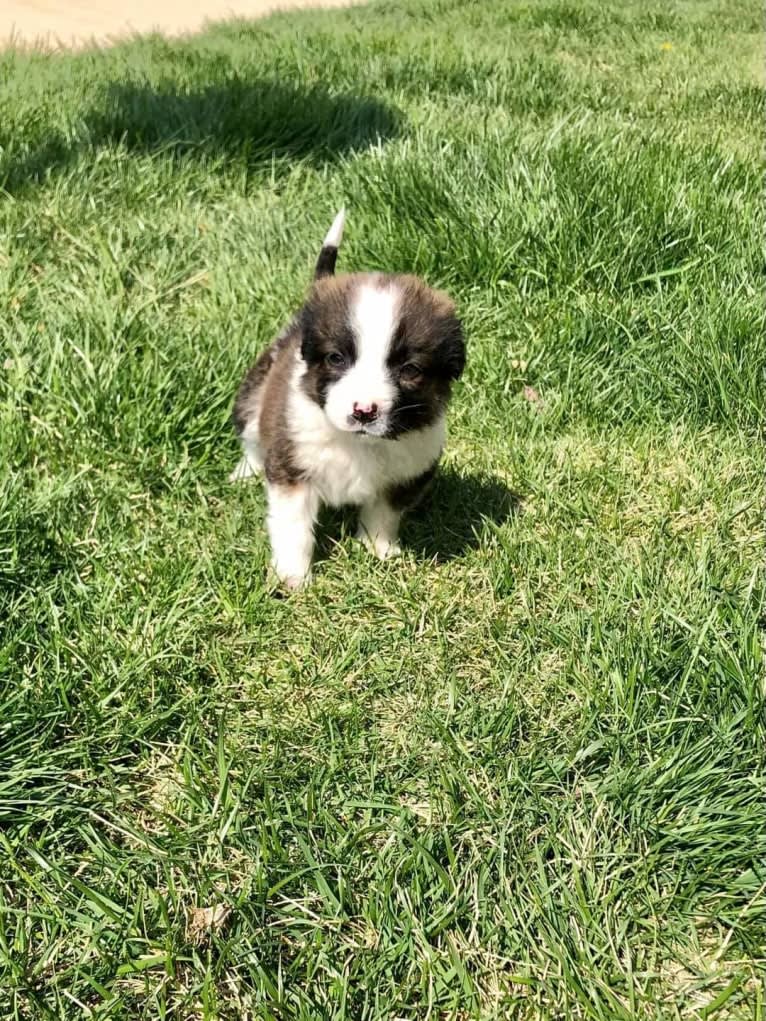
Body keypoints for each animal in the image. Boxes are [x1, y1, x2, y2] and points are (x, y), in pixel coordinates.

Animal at [230, 209, 465, 592]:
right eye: (336, 358)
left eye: (410, 369)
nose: (364, 411)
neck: (358, 443)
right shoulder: (292, 471)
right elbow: (293, 529)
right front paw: (292, 576)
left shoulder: (406, 475)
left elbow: (382, 514)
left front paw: (378, 551)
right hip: (253, 394)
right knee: (252, 435)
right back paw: (246, 471)